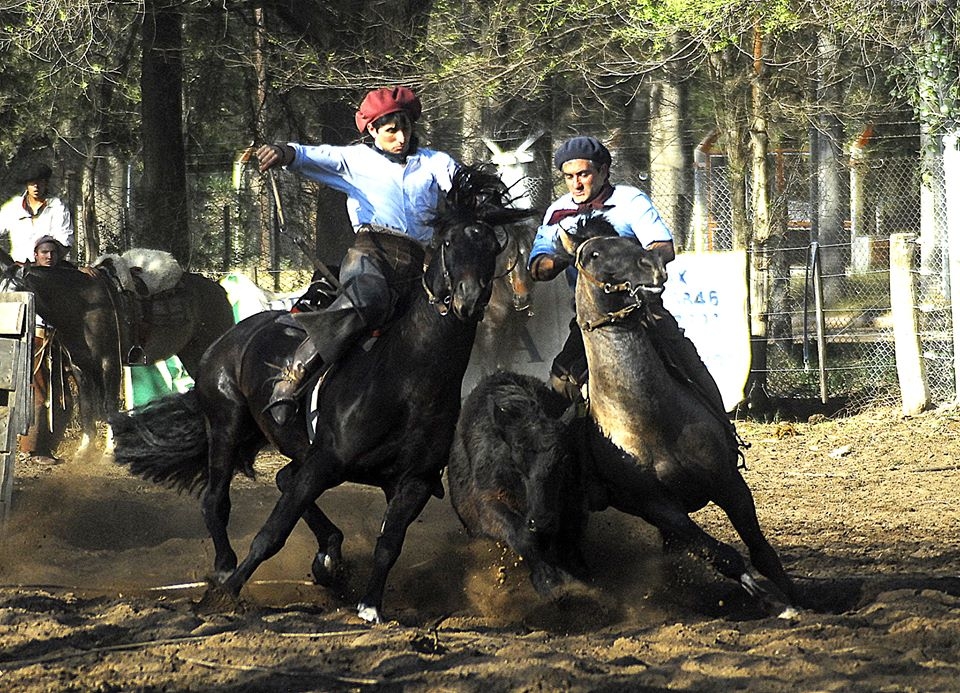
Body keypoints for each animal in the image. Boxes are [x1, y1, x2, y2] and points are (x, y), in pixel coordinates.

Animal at [0, 249, 232, 454]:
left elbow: (109, 407)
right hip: (190, 353)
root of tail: (221, 291)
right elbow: (87, 407)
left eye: (16, 295)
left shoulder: (109, 363)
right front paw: (85, 451)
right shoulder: (80, 366)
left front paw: (110, 450)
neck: (82, 306)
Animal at [110, 166, 540, 620]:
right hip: (226, 425)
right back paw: (227, 568)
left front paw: (370, 606)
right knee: (216, 500)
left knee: (282, 478)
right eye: (448, 242)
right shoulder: (324, 462)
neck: (409, 379)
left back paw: (329, 557)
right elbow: (272, 532)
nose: (469, 300)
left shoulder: (413, 482)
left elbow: (389, 544)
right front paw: (228, 592)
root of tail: (229, 337)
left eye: (492, 246)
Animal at [560, 218, 800, 616]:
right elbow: (725, 556)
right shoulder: (660, 508)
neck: (647, 418)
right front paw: (772, 600)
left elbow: (761, 551)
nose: (652, 266)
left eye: (629, 239)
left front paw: (798, 602)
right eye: (592, 253)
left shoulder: (728, 482)